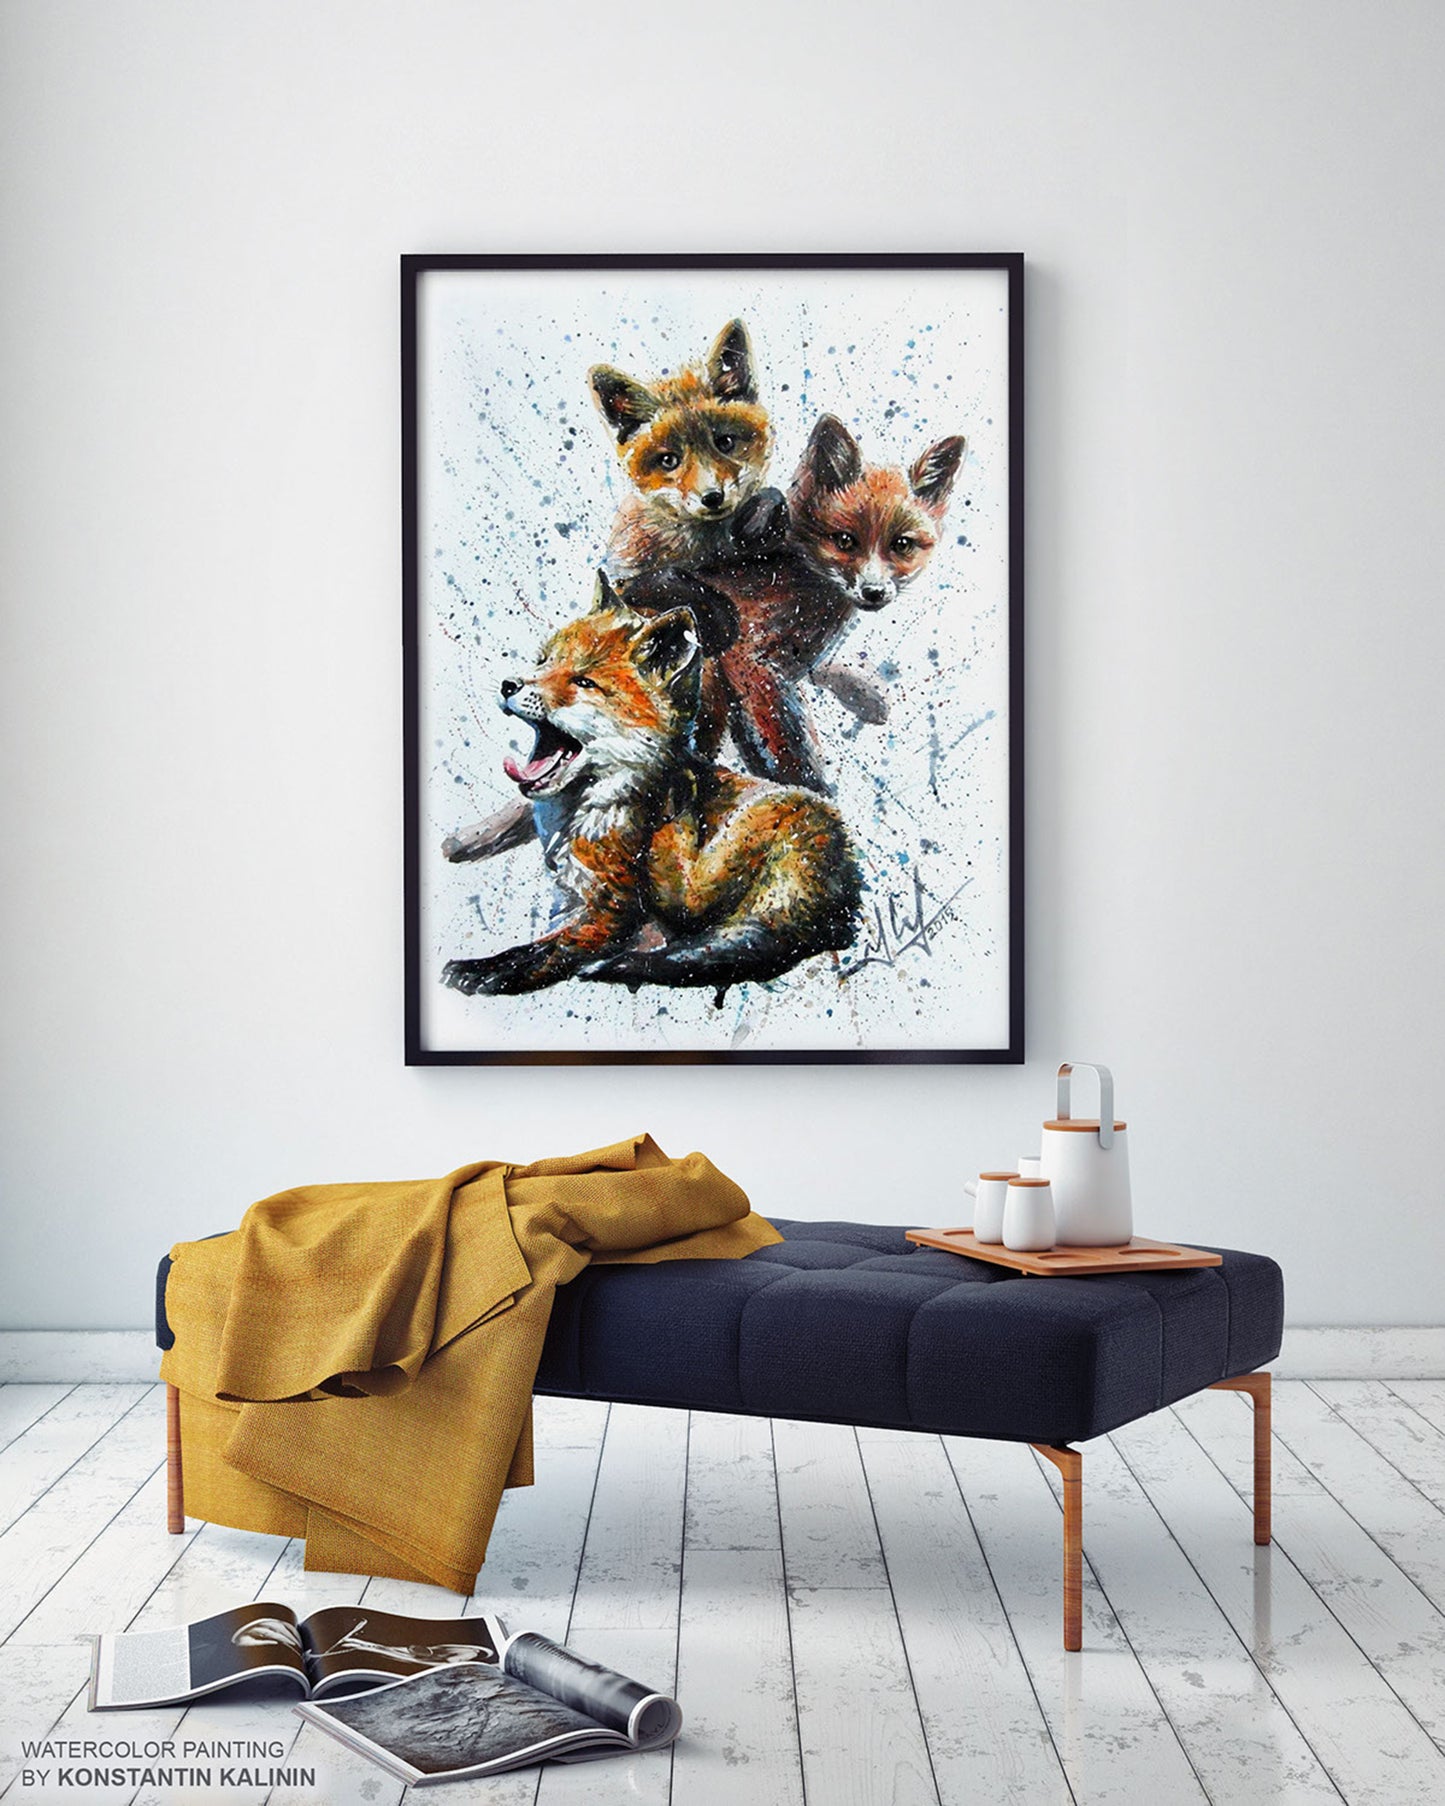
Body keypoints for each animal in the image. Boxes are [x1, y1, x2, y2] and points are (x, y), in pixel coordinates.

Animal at [441, 574, 860, 999]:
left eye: (584, 682)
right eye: (544, 662)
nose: (509, 684)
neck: (588, 815)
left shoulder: (607, 912)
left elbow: (543, 952)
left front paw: (485, 971)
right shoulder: (573, 898)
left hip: (730, 857)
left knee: (714, 936)